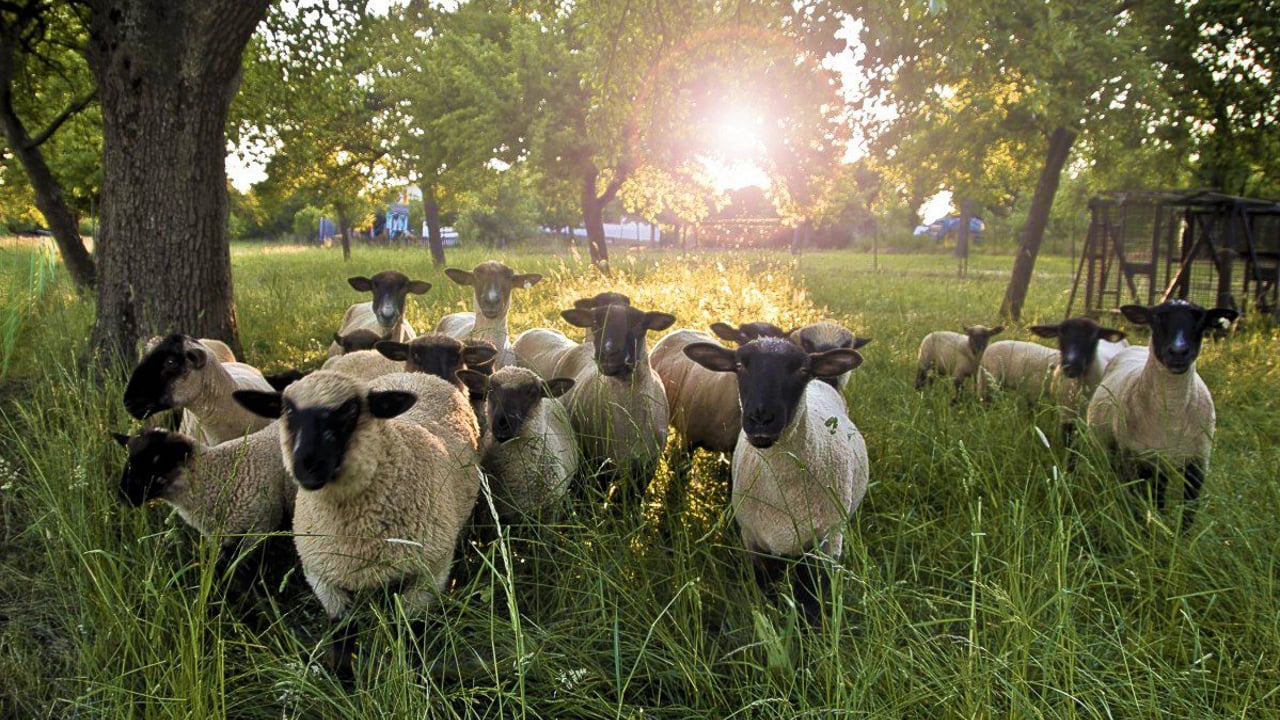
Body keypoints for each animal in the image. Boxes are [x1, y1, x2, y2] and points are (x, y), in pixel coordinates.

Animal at [233, 370, 481, 677]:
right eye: (288, 411)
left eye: (350, 410)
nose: (307, 464)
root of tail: (415, 373)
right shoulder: (323, 577)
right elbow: (343, 637)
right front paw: (344, 679)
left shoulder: (430, 573)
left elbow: (408, 631)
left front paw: (409, 673)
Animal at [684, 337, 868, 624]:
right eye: (739, 365)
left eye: (802, 370)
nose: (761, 418)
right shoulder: (755, 542)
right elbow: (768, 593)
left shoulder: (826, 542)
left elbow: (810, 600)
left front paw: (810, 633)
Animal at [1085, 300, 1238, 527]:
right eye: (1156, 318)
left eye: (1201, 320)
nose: (1178, 351)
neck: (1172, 414)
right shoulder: (1138, 460)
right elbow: (1142, 507)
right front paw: (1146, 530)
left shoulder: (1198, 464)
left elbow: (1188, 512)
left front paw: (1178, 534)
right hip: (1117, 451)